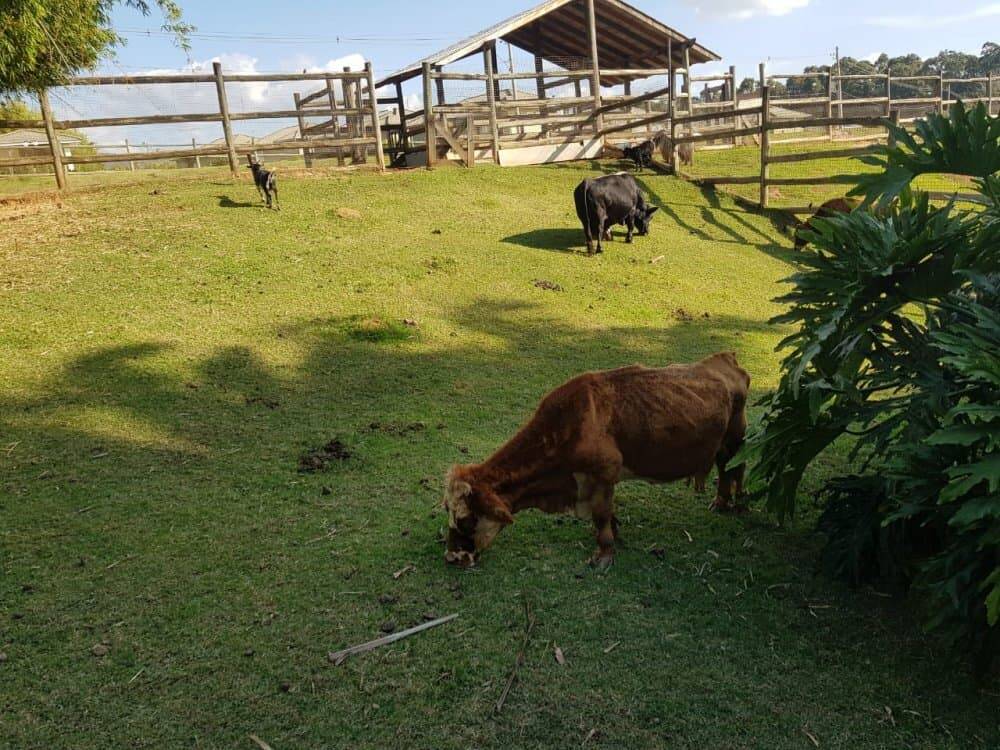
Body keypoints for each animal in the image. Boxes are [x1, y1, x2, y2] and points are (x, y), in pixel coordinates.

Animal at [446, 352, 752, 568]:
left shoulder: (604, 473)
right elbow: (605, 513)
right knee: (725, 469)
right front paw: (615, 534)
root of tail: (724, 358)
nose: (452, 557)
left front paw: (604, 552)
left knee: (737, 469)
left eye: (465, 520)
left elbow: (600, 514)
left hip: (736, 439)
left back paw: (738, 504)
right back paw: (720, 501)